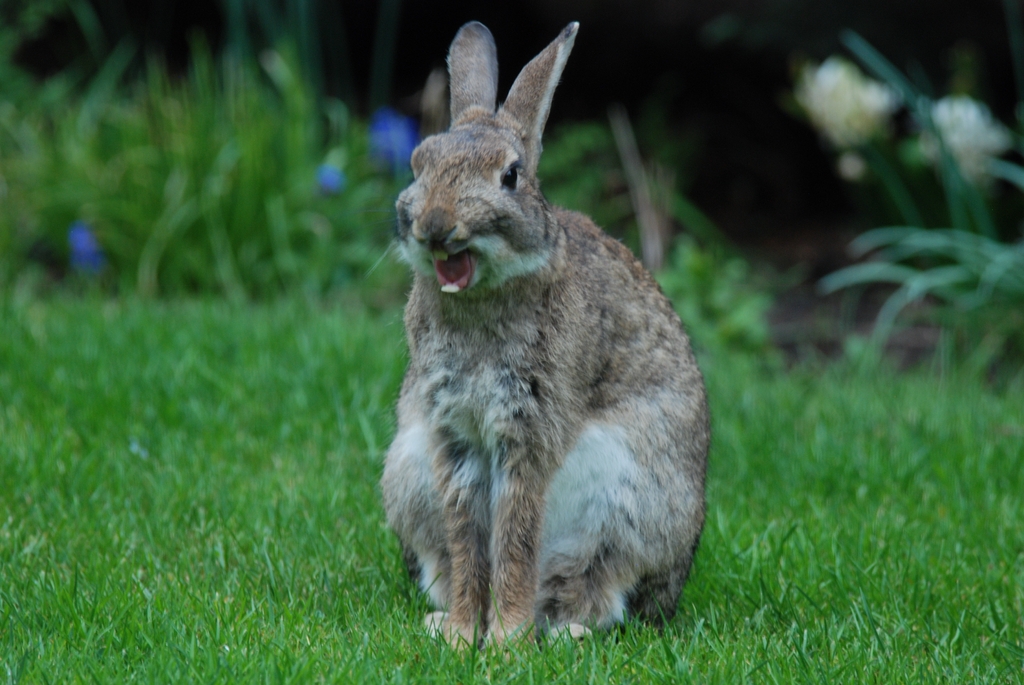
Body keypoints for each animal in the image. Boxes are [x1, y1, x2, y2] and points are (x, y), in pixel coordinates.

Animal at [380, 18, 708, 643]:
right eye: (417, 163)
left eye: (510, 176)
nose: (435, 225)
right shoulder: (452, 433)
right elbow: (469, 536)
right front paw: (464, 636)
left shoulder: (529, 427)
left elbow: (515, 533)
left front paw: (504, 643)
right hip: (408, 473)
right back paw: (443, 621)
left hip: (627, 505)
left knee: (594, 591)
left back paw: (557, 633)